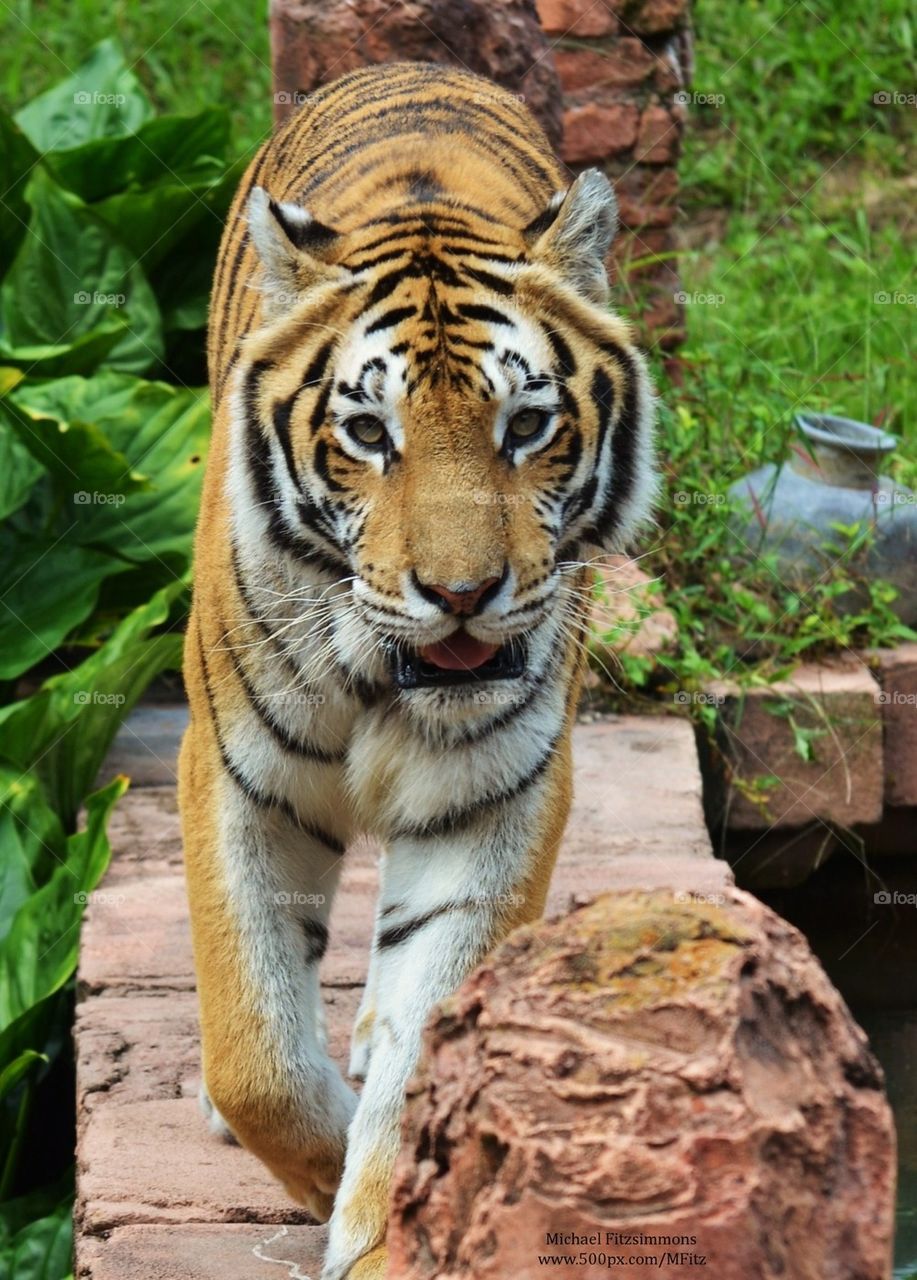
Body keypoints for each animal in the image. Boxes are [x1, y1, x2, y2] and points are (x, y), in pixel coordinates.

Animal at [179, 60, 655, 1280]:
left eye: (527, 425)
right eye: (366, 432)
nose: (461, 593)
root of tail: (414, 63)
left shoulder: (493, 798)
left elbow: (433, 1007)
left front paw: (388, 1221)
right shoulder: (236, 776)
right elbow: (253, 1050)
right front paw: (320, 1161)